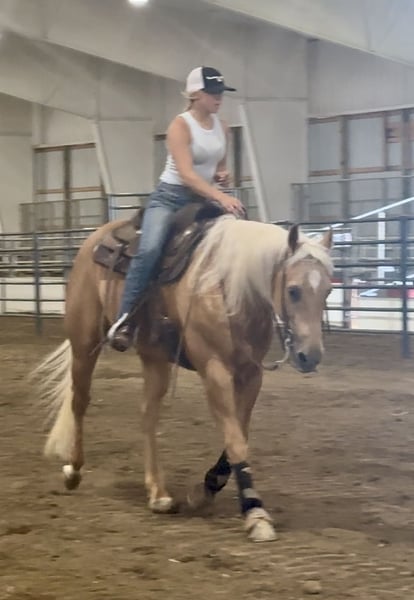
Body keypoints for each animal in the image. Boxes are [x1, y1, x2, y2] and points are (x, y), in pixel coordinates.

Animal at [31, 212, 333, 542]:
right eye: (293, 290)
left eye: (328, 291)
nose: (310, 356)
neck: (229, 288)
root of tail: (93, 240)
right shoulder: (215, 370)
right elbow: (236, 441)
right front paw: (255, 513)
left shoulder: (251, 374)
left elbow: (239, 434)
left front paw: (206, 489)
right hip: (84, 342)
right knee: (80, 401)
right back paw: (73, 469)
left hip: (155, 358)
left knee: (148, 414)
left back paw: (158, 494)